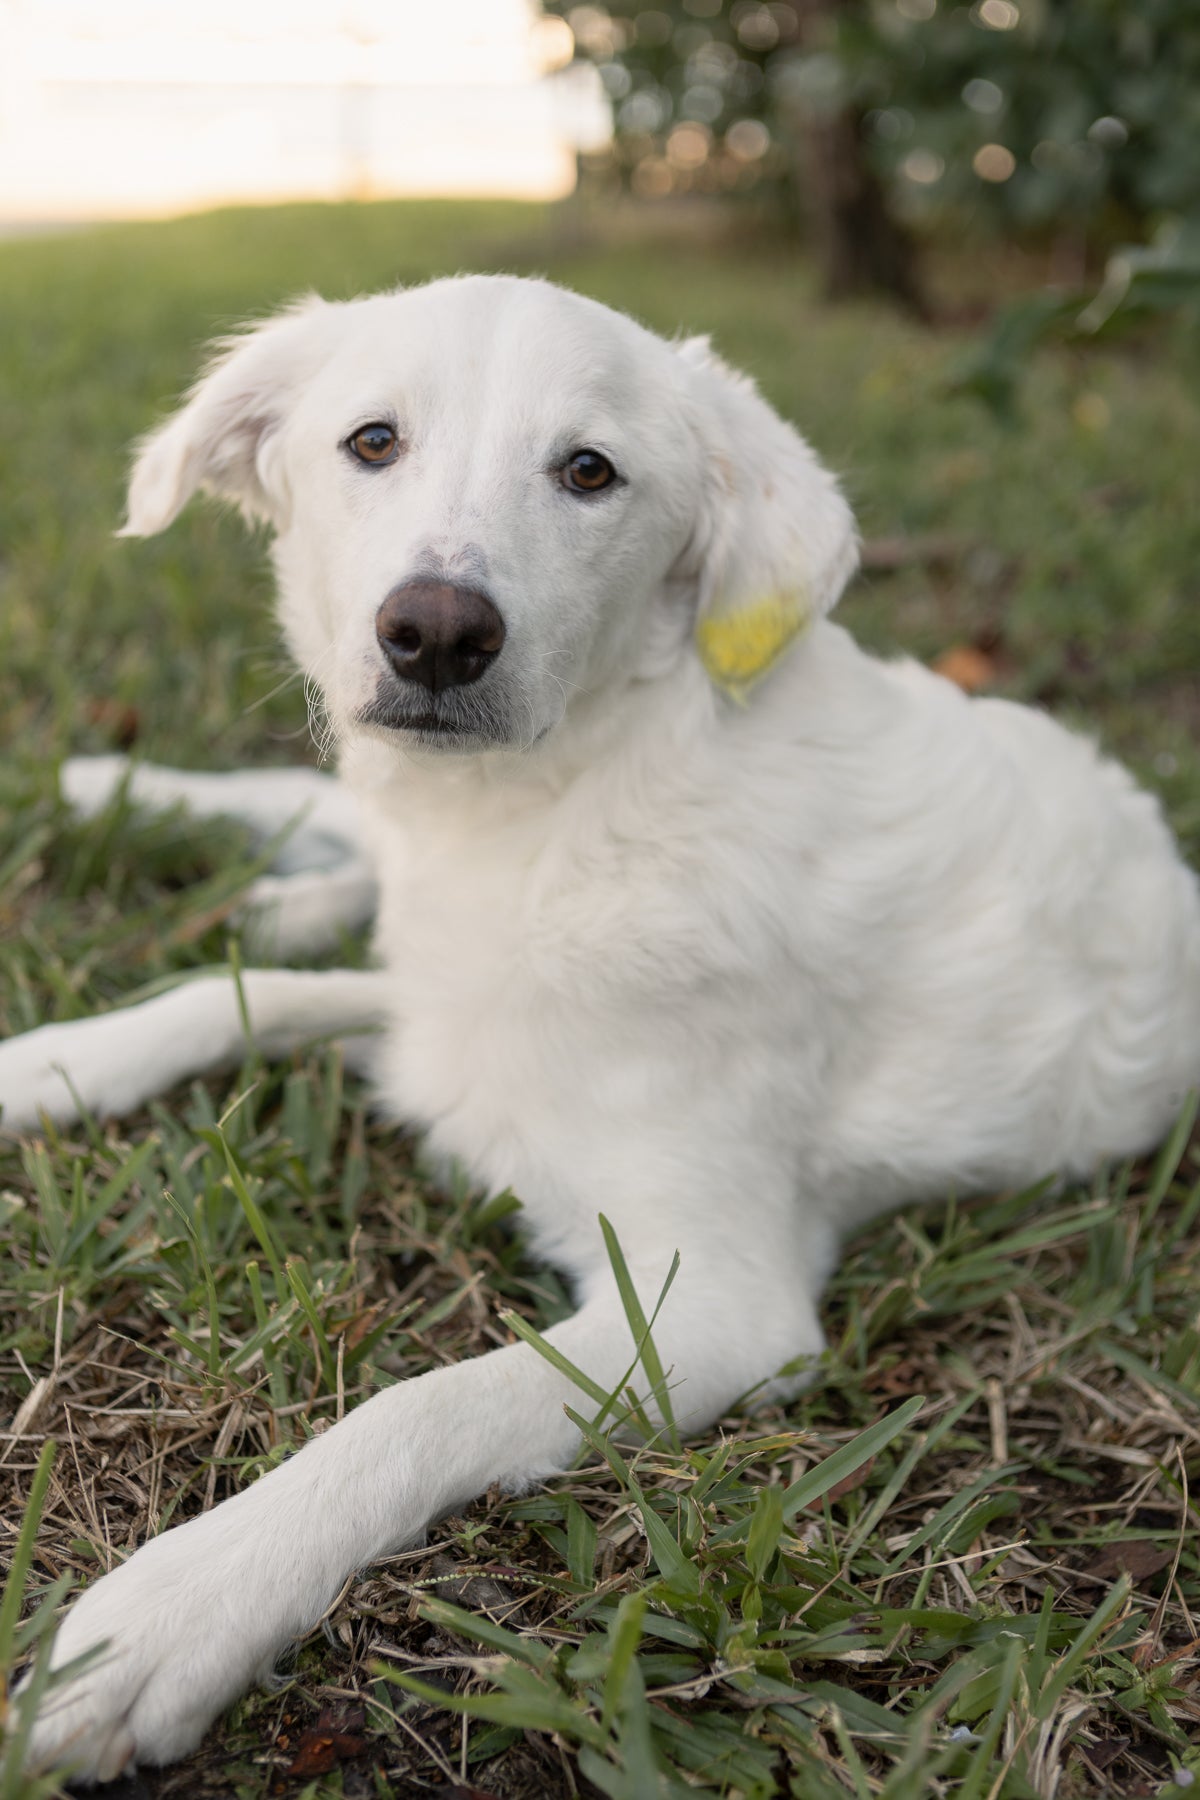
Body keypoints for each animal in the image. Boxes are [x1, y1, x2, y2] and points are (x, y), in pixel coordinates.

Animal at [9, 273, 1200, 1778]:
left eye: (590, 472)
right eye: (372, 441)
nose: (437, 632)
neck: (559, 811)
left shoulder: (716, 1304)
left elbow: (422, 1403)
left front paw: (179, 1607)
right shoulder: (441, 1011)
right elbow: (232, 998)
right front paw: (46, 1062)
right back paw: (124, 794)